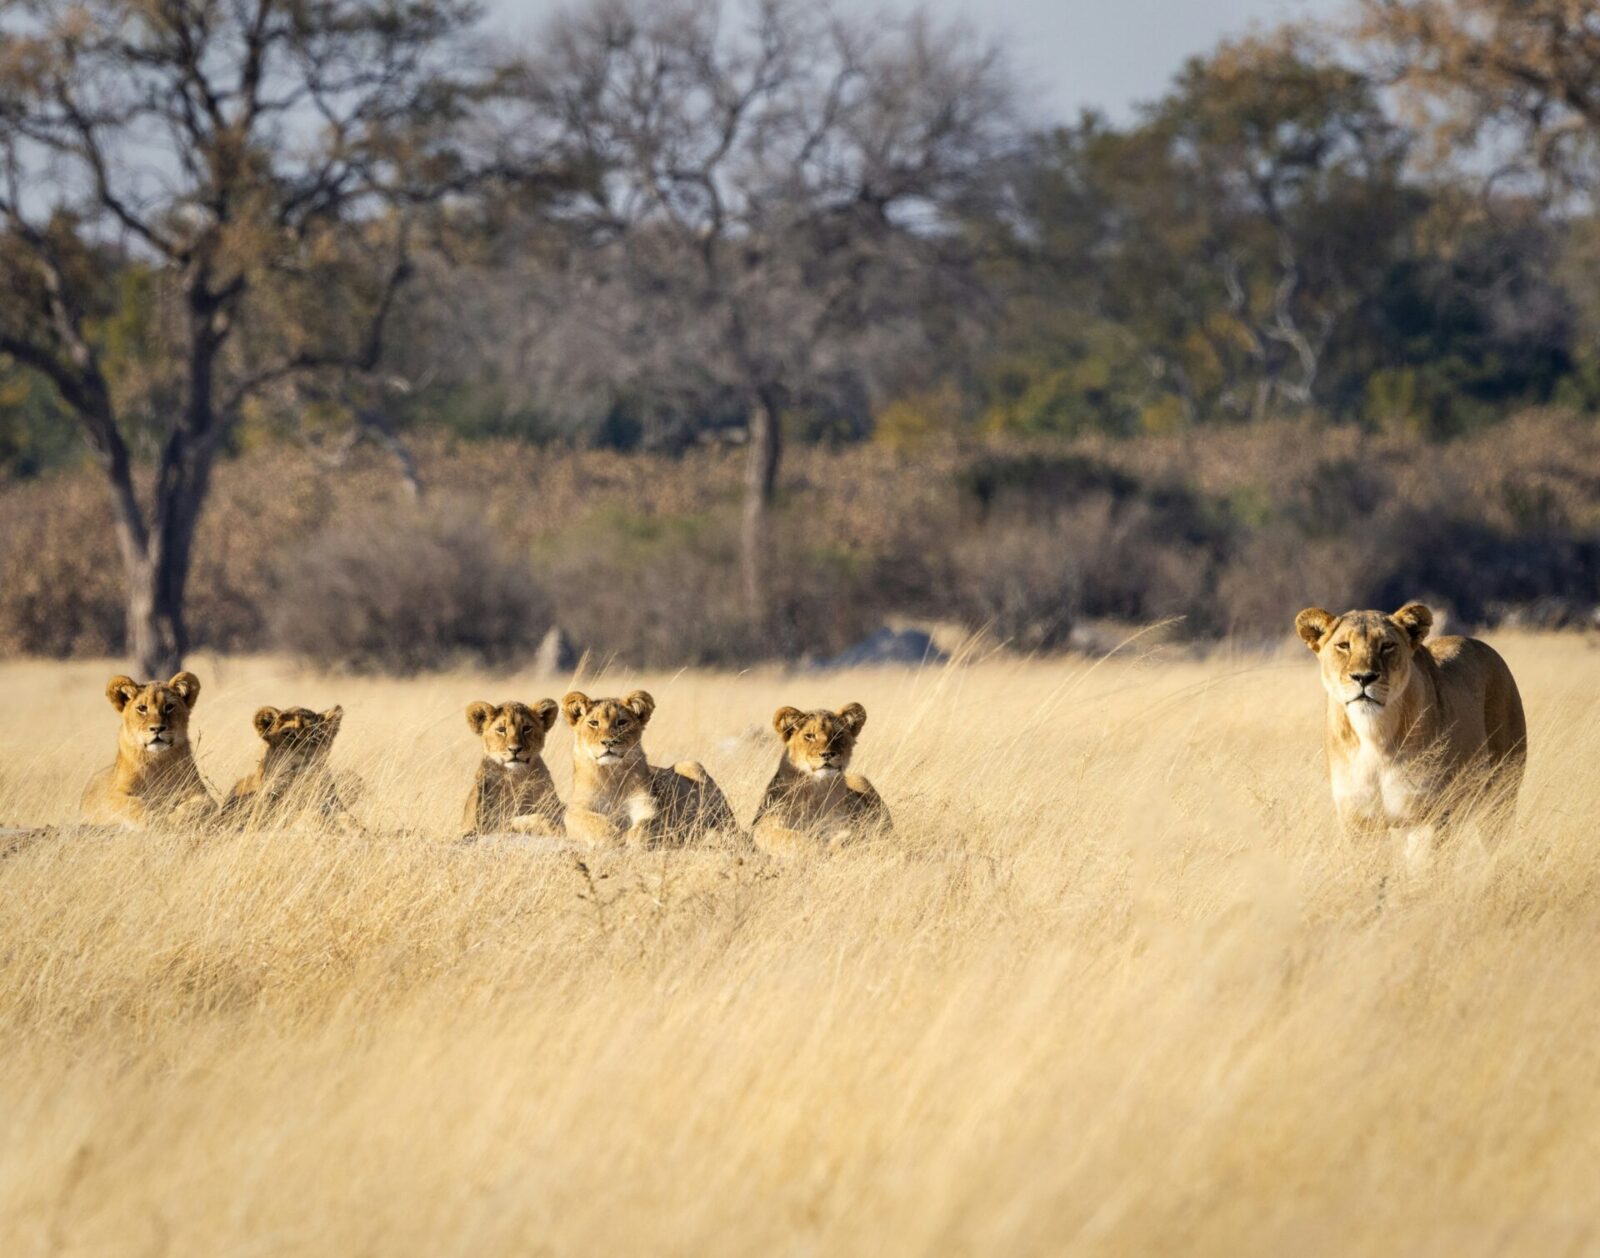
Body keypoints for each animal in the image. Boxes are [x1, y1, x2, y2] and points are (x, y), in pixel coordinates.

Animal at [81, 672, 217, 828]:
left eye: (169, 707)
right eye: (142, 708)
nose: (157, 729)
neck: (156, 760)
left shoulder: (201, 793)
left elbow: (197, 806)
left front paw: (174, 819)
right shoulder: (113, 795)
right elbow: (134, 804)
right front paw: (155, 820)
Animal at [560, 690, 738, 847]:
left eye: (622, 722)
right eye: (593, 723)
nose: (609, 742)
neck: (612, 773)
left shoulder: (648, 805)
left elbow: (646, 823)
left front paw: (635, 839)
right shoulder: (576, 809)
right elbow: (591, 821)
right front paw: (613, 835)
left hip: (692, 766)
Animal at [751, 703, 892, 854]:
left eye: (837, 734)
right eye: (809, 736)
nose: (827, 754)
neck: (817, 789)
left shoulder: (846, 823)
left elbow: (852, 835)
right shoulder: (764, 823)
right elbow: (788, 836)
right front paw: (817, 847)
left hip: (860, 779)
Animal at [1295, 601, 1526, 858]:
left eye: (1387, 645)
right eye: (1344, 645)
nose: (1364, 678)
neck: (1373, 736)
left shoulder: (1427, 816)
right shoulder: (1359, 822)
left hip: (1501, 793)